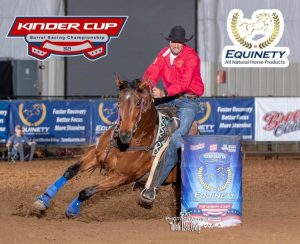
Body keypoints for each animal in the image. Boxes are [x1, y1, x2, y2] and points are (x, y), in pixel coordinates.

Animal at [32, 76, 178, 217]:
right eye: (119, 101)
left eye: (138, 102)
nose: (124, 134)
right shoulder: (94, 155)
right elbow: (70, 171)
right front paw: (43, 200)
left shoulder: (121, 177)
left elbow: (86, 191)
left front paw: (72, 209)